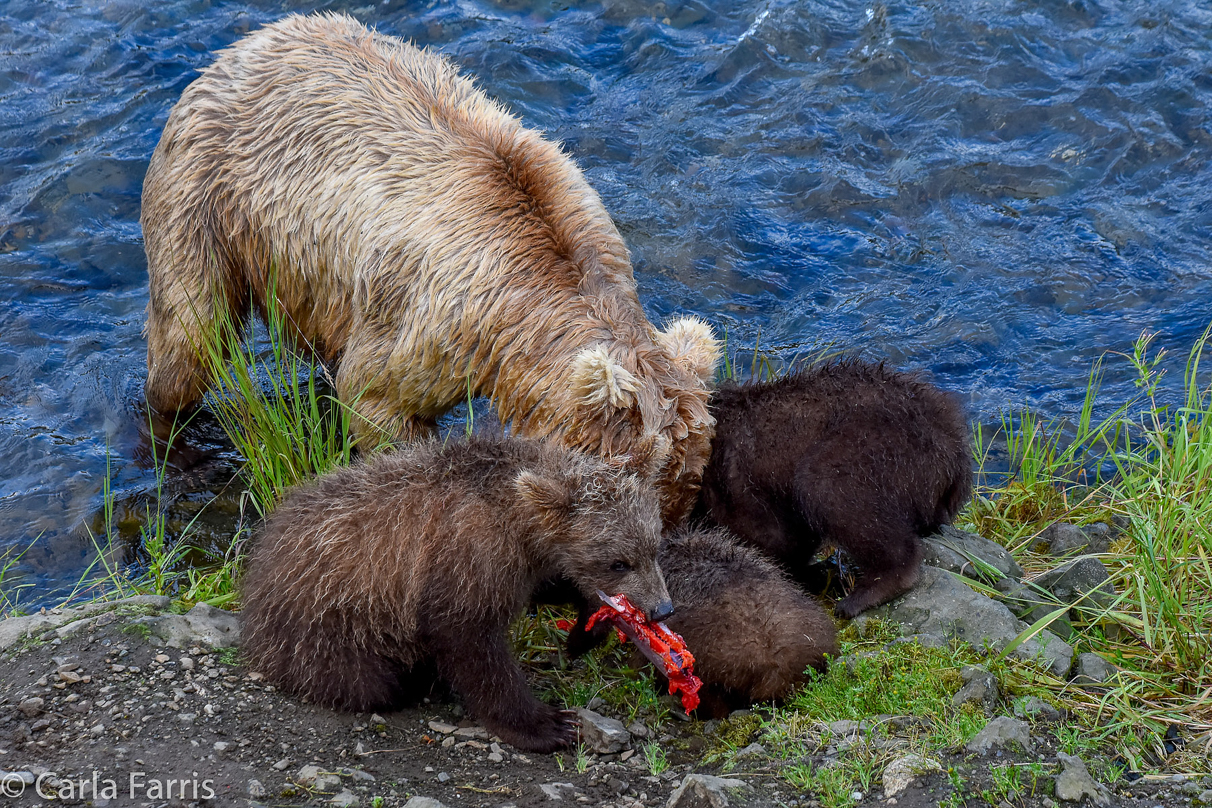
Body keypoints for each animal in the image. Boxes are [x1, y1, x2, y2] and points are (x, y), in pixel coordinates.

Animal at [139, 15, 717, 528]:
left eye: (688, 482)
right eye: (641, 485)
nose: (671, 532)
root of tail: (242, 47)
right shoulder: (433, 323)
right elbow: (374, 400)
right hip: (205, 199)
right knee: (190, 334)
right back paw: (178, 445)